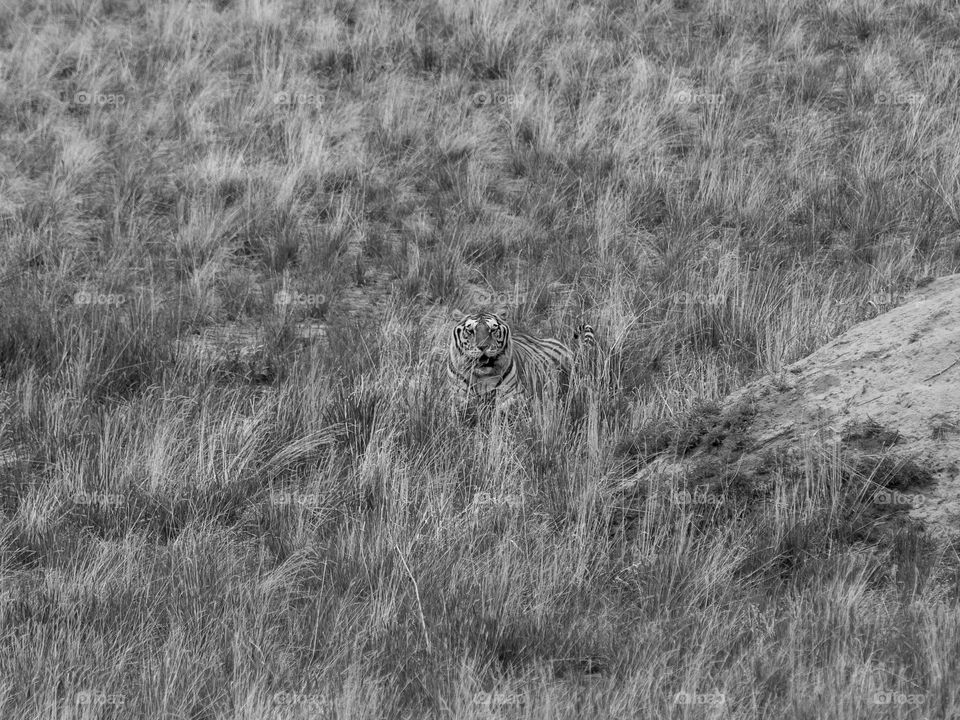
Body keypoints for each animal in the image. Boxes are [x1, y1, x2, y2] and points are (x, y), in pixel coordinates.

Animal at [447, 312, 596, 415]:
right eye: (470, 330)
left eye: (493, 330)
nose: (483, 346)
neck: (482, 376)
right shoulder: (458, 397)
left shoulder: (516, 395)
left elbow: (504, 407)